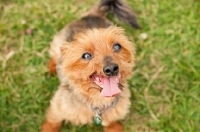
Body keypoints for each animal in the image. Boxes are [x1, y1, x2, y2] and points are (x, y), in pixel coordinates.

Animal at [42, 0, 139, 132]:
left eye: (117, 46)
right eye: (86, 55)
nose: (111, 69)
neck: (99, 101)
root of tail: (92, 15)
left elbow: (111, 121)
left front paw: (114, 127)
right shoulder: (58, 107)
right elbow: (52, 122)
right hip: (58, 44)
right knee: (55, 56)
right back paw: (52, 67)